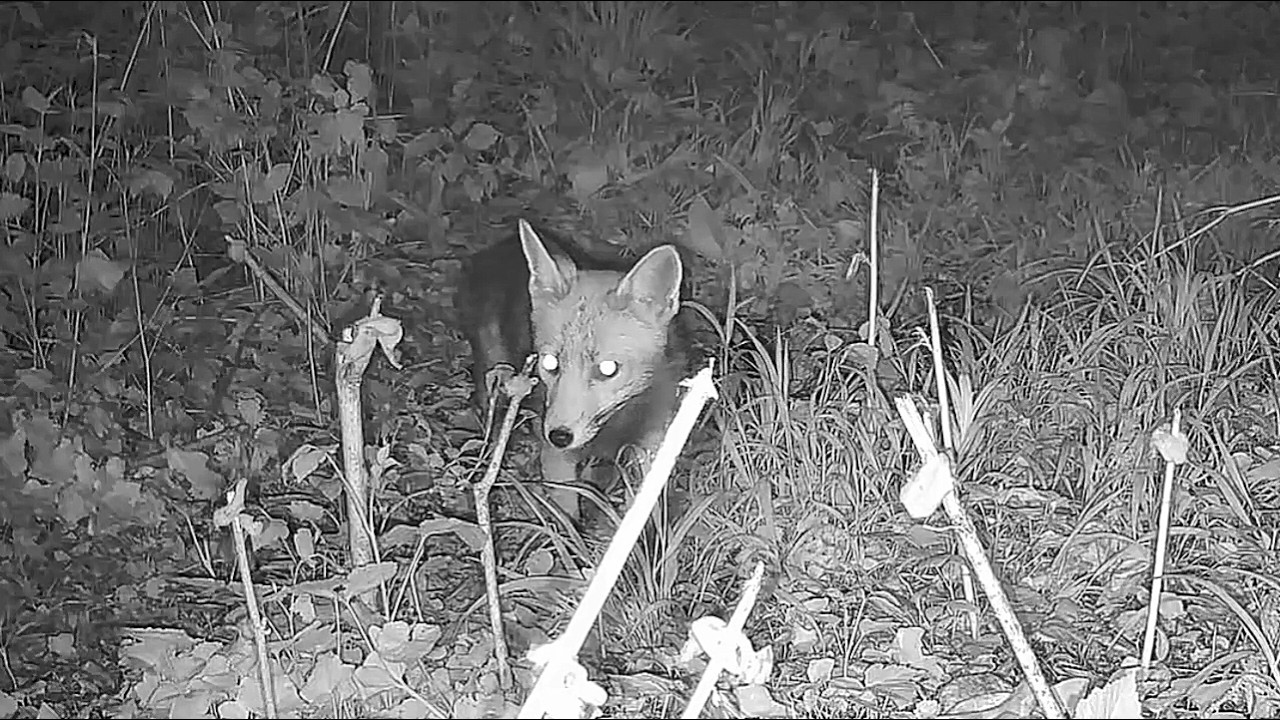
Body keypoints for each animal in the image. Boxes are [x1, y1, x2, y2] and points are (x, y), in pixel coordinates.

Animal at [456, 219, 688, 520]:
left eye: (607, 368)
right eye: (550, 363)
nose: (559, 436)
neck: (620, 423)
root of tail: (498, 247)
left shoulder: (652, 444)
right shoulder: (556, 457)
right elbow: (565, 517)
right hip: (495, 375)